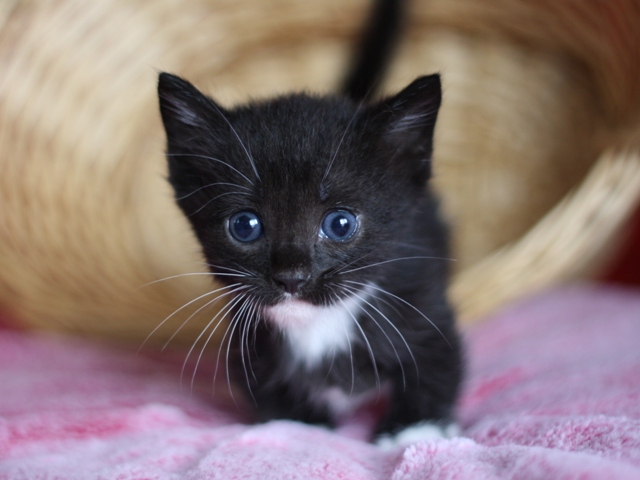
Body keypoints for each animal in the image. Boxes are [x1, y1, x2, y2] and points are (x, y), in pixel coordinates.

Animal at [158, 0, 462, 444]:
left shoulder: (424, 306)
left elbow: (437, 368)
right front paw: (303, 429)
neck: (317, 326)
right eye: (244, 225)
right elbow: (277, 403)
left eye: (340, 224)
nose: (292, 276)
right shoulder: (248, 348)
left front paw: (413, 432)